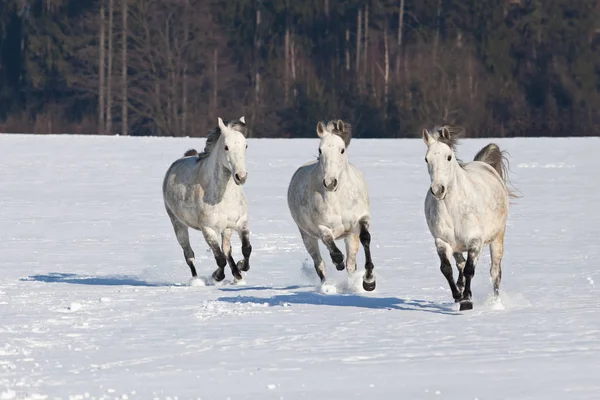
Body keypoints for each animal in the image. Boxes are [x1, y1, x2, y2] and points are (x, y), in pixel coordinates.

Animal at [162, 116, 251, 284]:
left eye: (246, 145)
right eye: (226, 147)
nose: (241, 177)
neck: (224, 197)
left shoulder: (240, 223)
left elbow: (246, 249)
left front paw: (241, 267)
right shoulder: (208, 230)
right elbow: (220, 259)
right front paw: (216, 276)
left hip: (227, 228)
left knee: (227, 250)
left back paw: (237, 274)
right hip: (178, 225)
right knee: (189, 255)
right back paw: (196, 280)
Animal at [288, 120, 376, 292]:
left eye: (342, 150)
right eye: (320, 150)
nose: (330, 183)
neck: (338, 198)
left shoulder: (361, 220)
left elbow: (366, 239)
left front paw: (369, 281)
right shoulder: (322, 227)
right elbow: (331, 246)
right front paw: (337, 261)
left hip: (350, 236)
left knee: (351, 263)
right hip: (307, 236)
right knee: (319, 264)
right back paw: (327, 286)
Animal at [422, 126, 516, 310]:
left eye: (449, 157)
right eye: (426, 159)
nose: (437, 190)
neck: (453, 210)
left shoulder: (475, 240)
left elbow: (469, 269)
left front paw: (466, 300)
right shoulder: (442, 242)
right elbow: (447, 269)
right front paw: (458, 296)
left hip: (497, 238)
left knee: (495, 272)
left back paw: (495, 302)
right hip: (458, 246)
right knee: (460, 263)